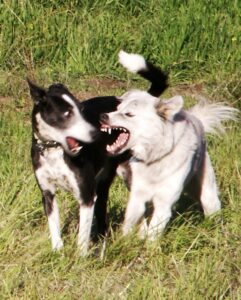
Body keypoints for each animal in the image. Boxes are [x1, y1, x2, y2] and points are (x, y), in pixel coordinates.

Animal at [27, 50, 168, 254]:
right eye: (67, 114)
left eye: (81, 109)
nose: (95, 133)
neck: (55, 150)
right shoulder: (48, 194)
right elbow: (55, 229)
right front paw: (58, 252)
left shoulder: (86, 195)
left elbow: (82, 237)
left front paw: (80, 257)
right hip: (104, 182)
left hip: (130, 176)